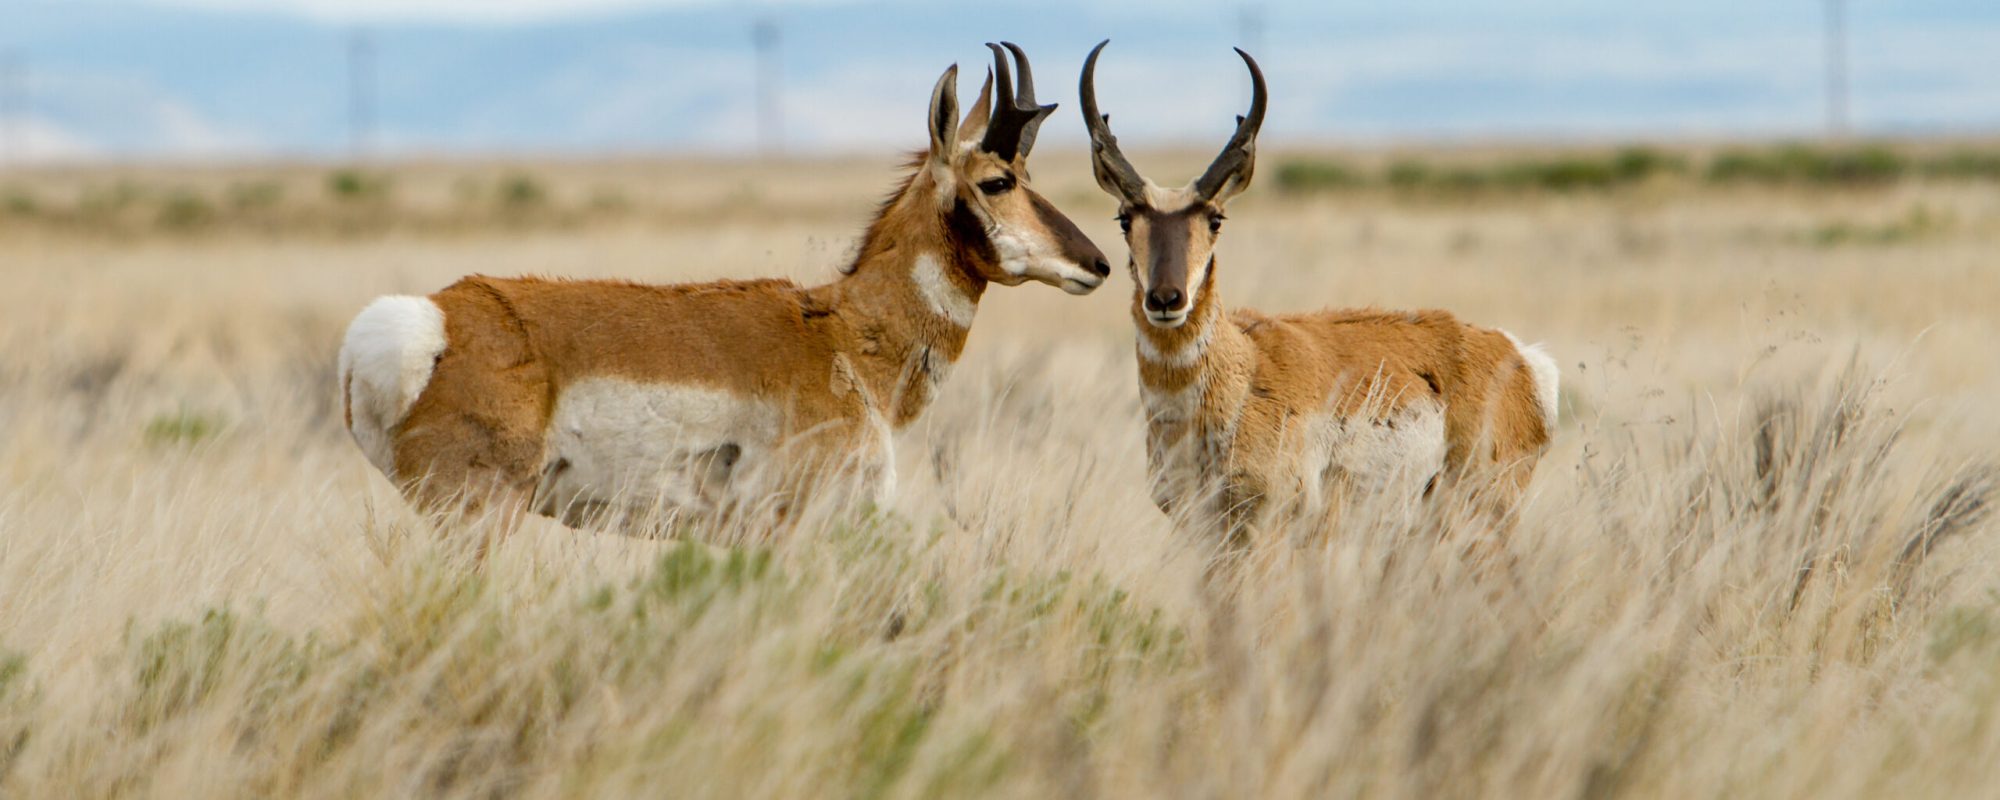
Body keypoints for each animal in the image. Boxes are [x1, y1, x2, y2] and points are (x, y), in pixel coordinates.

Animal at [338, 43, 1109, 530]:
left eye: (1029, 175)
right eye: (999, 181)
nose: (1098, 264)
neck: (841, 333)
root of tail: (430, 321)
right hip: (479, 516)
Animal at [1078, 41, 1558, 549]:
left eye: (1215, 219)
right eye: (1124, 218)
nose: (1166, 298)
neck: (1242, 366)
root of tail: (1521, 355)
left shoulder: (1265, 525)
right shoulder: (1201, 531)